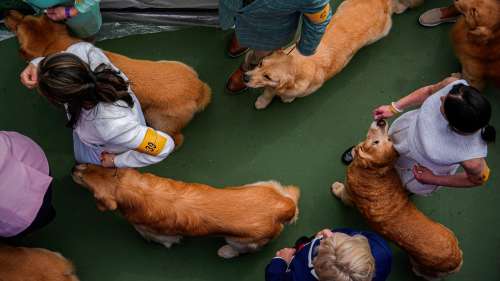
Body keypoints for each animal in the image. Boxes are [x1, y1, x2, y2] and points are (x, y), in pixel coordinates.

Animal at [3, 10, 211, 147]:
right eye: (26, 17)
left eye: (18, 26)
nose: (7, 12)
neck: (52, 43)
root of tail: (199, 89)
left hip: (158, 119)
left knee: (177, 139)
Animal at [72, 163, 298, 258]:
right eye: (86, 165)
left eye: (83, 178)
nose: (73, 168)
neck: (133, 188)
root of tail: (282, 207)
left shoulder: (159, 234)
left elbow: (154, 236)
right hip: (261, 184)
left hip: (240, 240)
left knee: (241, 250)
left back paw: (225, 252)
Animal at [245, 0, 394, 109]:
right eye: (260, 63)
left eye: (267, 76)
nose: (245, 78)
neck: (299, 63)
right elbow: (268, 90)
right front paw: (263, 100)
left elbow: (281, 93)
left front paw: (285, 98)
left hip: (381, 33)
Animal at [330, 120, 462, 278]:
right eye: (387, 139)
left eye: (376, 142)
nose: (381, 121)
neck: (374, 171)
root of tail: (457, 260)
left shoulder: (349, 193)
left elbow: (342, 193)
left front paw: (336, 187)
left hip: (420, 266)